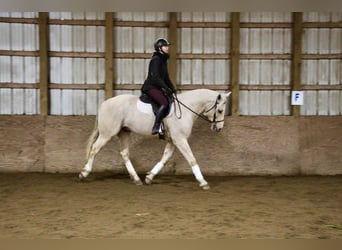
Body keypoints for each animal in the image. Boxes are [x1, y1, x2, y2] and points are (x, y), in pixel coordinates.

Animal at [79, 89, 231, 188]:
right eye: (220, 110)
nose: (219, 128)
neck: (186, 109)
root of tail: (104, 103)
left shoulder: (172, 141)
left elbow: (165, 158)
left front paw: (149, 177)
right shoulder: (180, 139)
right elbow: (192, 159)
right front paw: (203, 181)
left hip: (124, 132)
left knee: (124, 153)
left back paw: (136, 179)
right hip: (107, 134)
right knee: (94, 149)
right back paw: (84, 173)